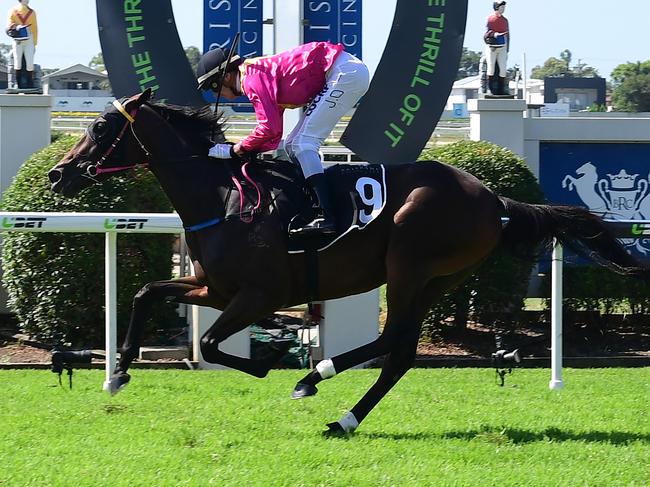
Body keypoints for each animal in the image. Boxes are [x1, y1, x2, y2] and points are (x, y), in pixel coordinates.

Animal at [48, 91, 644, 434]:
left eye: (101, 129)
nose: (57, 174)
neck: (223, 196)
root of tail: (493, 198)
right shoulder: (212, 287)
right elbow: (147, 292)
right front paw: (119, 372)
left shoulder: (258, 294)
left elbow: (214, 343)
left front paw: (272, 357)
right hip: (437, 278)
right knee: (399, 349)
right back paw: (338, 407)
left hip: (409, 261)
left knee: (396, 341)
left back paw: (318, 382)